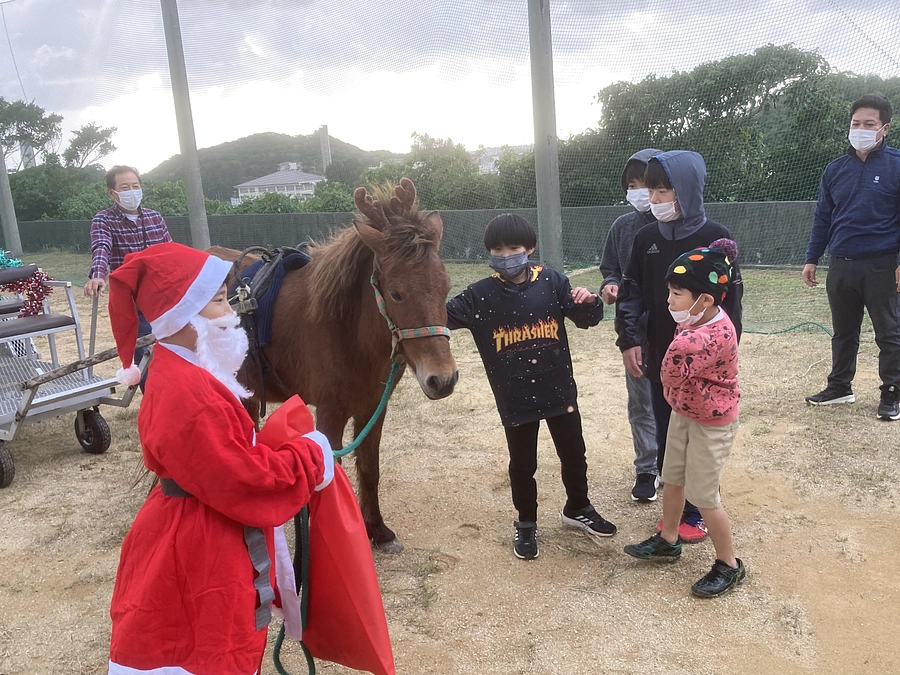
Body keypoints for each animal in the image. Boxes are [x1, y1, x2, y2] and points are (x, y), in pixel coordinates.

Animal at [209, 178, 458, 552]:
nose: (443, 379)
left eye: (446, 287)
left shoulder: (372, 408)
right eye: (397, 293)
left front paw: (377, 530)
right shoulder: (330, 413)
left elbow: (369, 469)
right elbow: (328, 480)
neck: (348, 329)